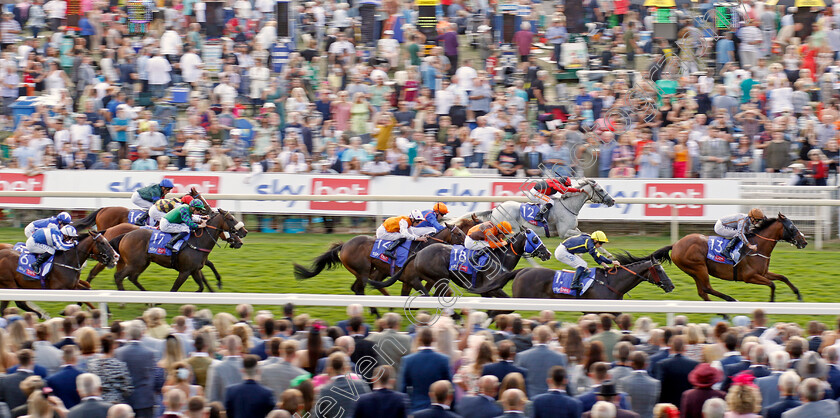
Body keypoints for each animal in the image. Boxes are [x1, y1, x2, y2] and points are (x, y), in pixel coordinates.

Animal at [111, 208, 244, 292]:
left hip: (142, 263)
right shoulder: (184, 272)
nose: (244, 232)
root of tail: (126, 235)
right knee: (119, 276)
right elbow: (174, 288)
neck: (197, 242)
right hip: (135, 263)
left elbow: (201, 286)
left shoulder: (194, 270)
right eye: (231, 219)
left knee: (132, 277)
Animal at [292, 225, 466, 316]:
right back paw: (375, 310)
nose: (468, 244)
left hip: (368, 271)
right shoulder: (412, 279)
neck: (422, 249)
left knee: (358, 287)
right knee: (360, 288)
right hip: (363, 270)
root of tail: (345, 245)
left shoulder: (416, 280)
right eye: (458, 233)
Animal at [656, 214, 808, 302]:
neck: (758, 247)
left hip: (693, 272)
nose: (804, 242)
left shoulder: (763, 273)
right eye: (792, 227)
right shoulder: (749, 277)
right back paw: (731, 299)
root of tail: (676, 244)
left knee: (702, 292)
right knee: (707, 288)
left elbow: (783, 277)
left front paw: (798, 295)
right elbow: (773, 284)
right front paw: (771, 301)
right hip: (699, 268)